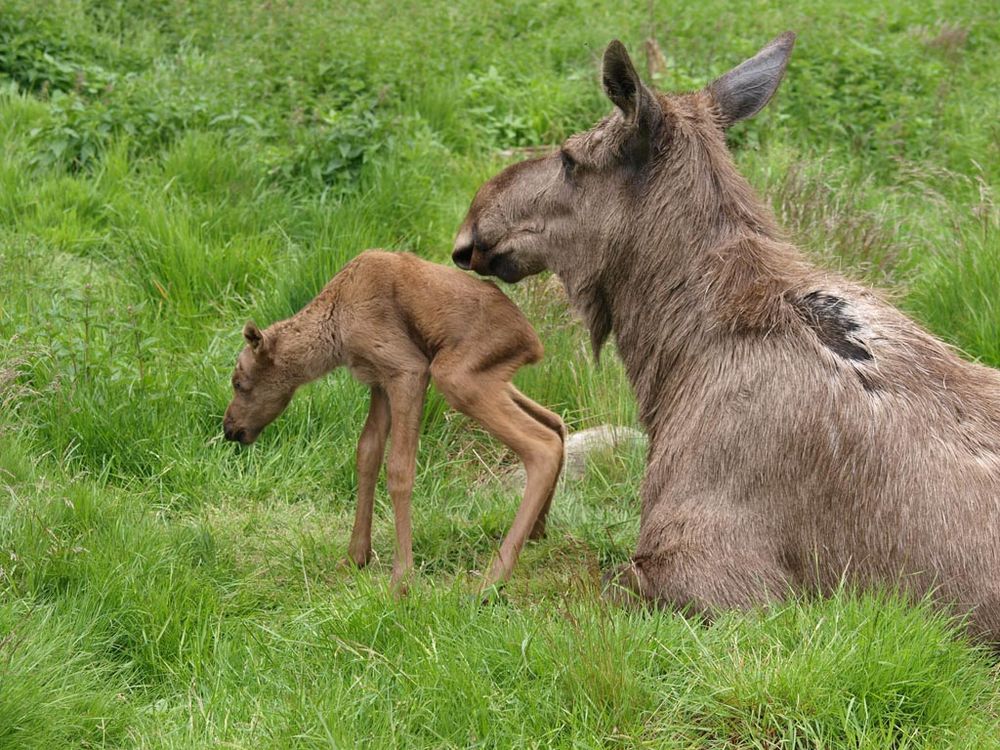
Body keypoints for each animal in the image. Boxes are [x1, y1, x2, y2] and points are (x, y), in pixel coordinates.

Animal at [226, 253, 568, 592]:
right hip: (491, 378)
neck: (335, 335)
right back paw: (537, 533)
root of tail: (534, 343)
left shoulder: (408, 369)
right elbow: (367, 453)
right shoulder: (379, 381)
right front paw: (355, 557)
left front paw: (401, 579)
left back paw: (493, 579)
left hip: (454, 375)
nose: (230, 428)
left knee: (542, 445)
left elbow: (399, 469)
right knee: (555, 421)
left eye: (239, 383)